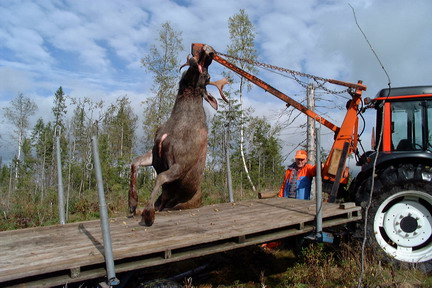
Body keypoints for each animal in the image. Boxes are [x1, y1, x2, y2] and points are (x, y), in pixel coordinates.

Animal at [128, 44, 230, 226]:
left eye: (208, 76)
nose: (210, 51)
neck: (176, 122)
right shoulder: (155, 154)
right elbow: (135, 162)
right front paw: (132, 202)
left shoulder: (182, 163)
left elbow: (160, 177)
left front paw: (148, 214)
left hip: (181, 202)